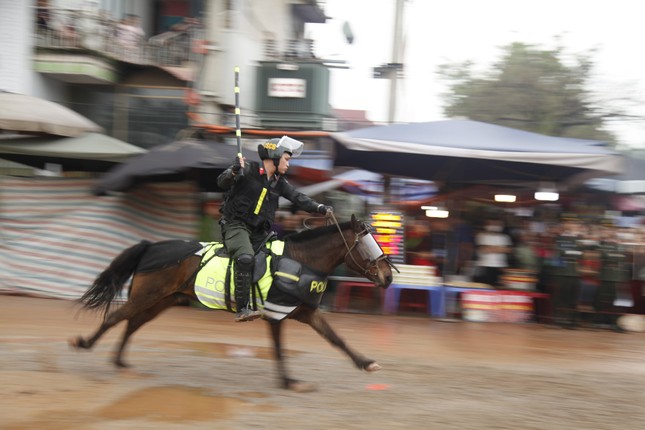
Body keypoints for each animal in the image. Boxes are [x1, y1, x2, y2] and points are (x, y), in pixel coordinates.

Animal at [70, 215, 392, 394]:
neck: (300, 260)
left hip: (162, 300)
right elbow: (279, 350)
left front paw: (366, 363)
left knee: (132, 323)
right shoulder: (276, 315)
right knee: (115, 318)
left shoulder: (306, 313)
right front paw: (289, 382)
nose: (388, 276)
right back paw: (84, 343)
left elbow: (336, 339)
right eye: (367, 246)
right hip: (146, 296)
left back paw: (120, 362)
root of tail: (151, 246)